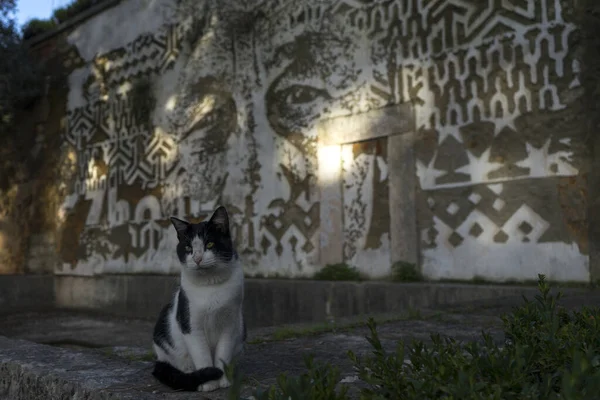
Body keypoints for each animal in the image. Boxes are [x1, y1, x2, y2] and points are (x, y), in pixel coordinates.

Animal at [152, 208, 246, 392]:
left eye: (209, 244)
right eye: (188, 247)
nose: (197, 258)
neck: (210, 286)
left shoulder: (230, 325)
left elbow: (223, 353)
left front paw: (223, 380)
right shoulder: (191, 325)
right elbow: (201, 355)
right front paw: (208, 383)